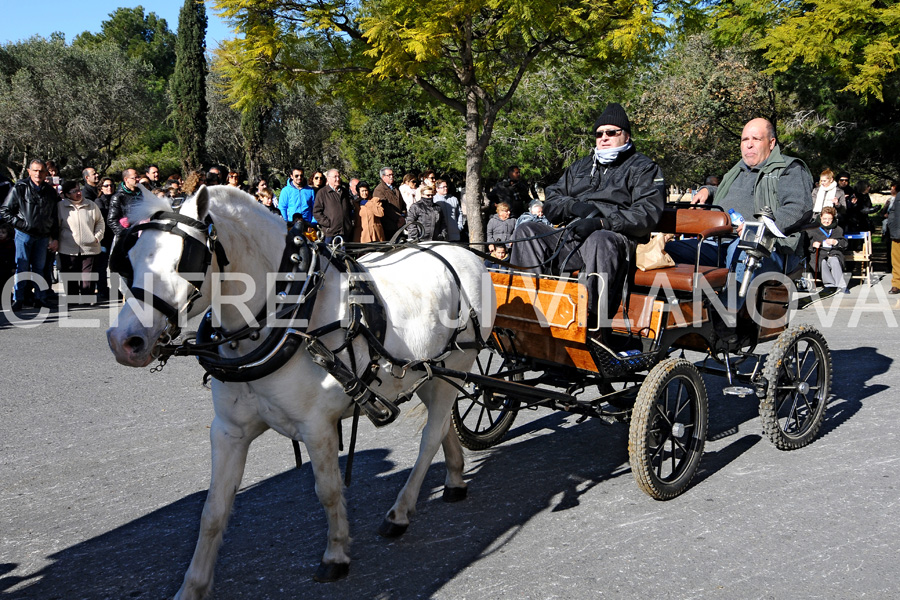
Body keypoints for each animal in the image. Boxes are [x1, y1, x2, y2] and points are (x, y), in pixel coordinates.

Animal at [107, 185, 500, 596]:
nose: (124, 341)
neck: (285, 314)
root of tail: (462, 252)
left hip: (458, 363)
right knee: (442, 427)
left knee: (430, 437)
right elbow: (213, 510)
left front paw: (336, 554)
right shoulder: (228, 431)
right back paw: (454, 479)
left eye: (182, 261)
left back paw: (400, 512)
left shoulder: (317, 427)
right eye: (129, 259)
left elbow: (327, 491)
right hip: (428, 373)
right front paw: (193, 587)